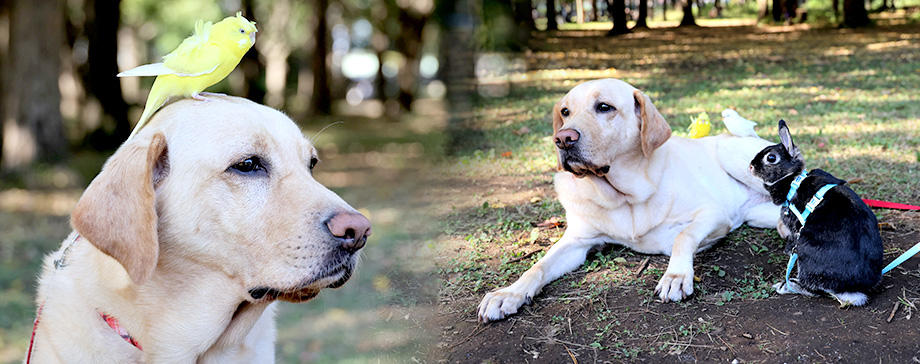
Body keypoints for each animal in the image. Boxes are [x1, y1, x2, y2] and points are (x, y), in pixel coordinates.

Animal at [478, 77, 780, 322]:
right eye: (565, 112)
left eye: (604, 107)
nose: (563, 139)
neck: (623, 197)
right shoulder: (577, 242)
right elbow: (538, 266)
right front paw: (508, 293)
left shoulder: (713, 214)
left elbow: (683, 237)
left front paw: (675, 276)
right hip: (759, 215)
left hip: (735, 157)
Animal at [756, 120, 884, 308]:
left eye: (771, 158)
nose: (751, 166)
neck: (793, 180)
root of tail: (852, 289)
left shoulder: (795, 227)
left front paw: (787, 251)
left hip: (805, 251)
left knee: (813, 288)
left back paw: (786, 286)